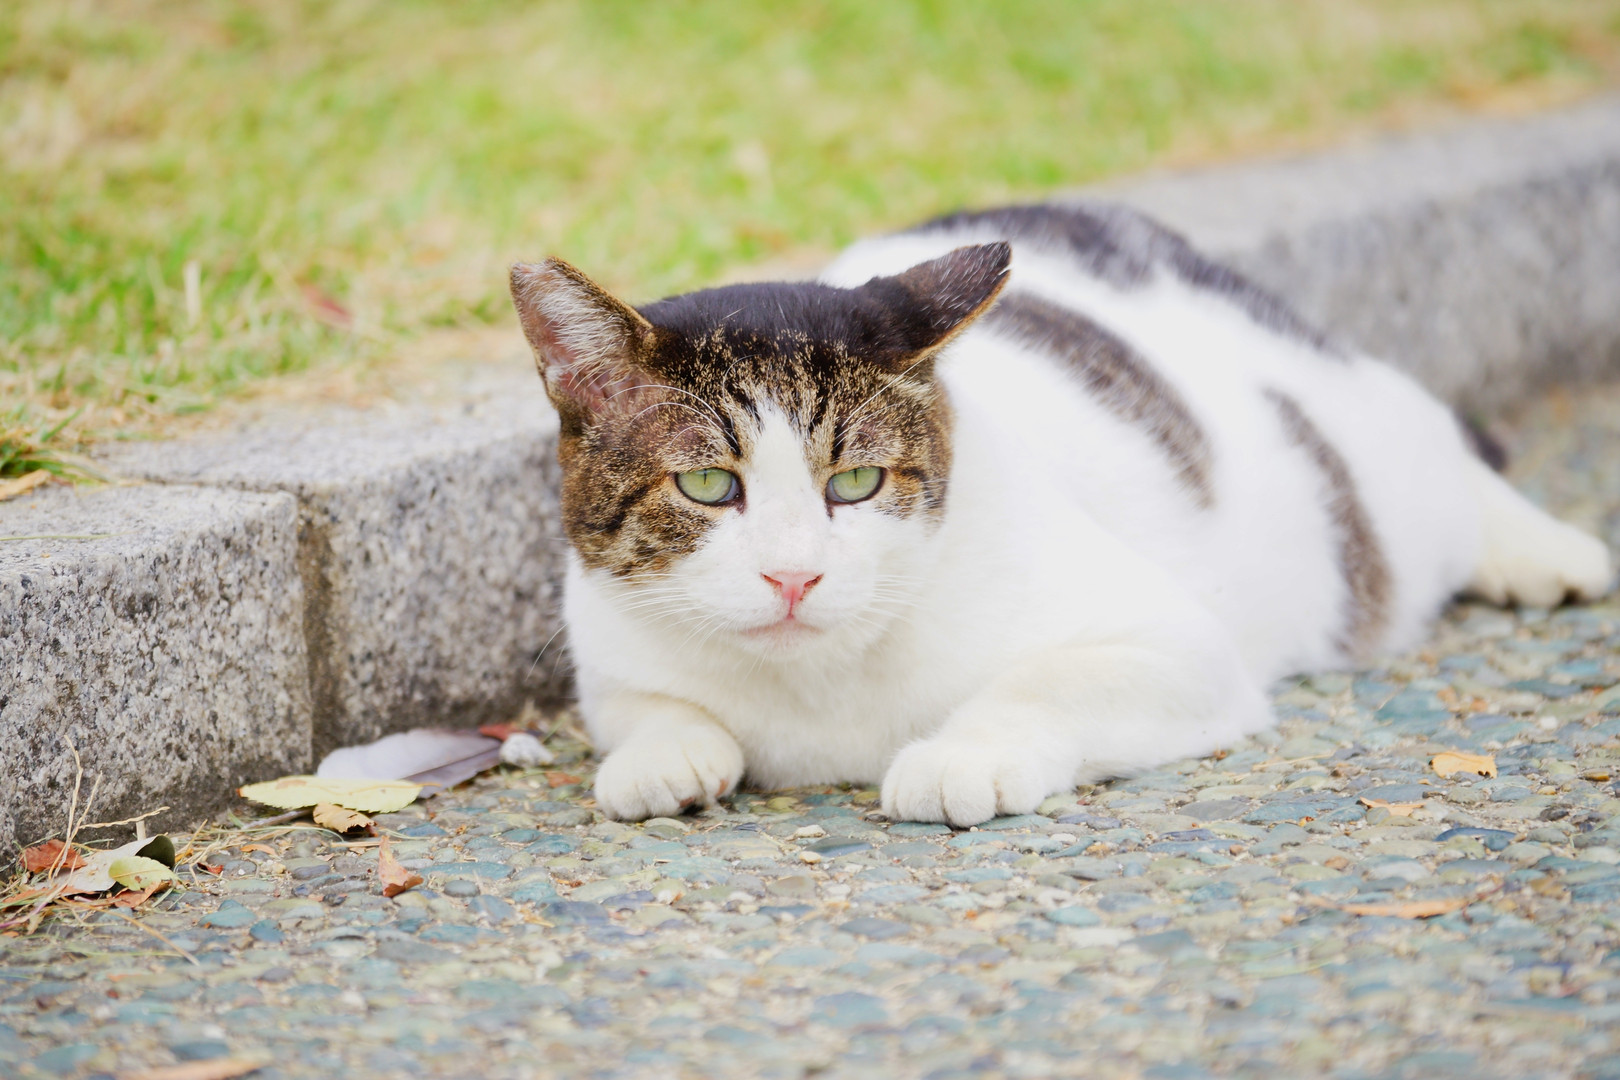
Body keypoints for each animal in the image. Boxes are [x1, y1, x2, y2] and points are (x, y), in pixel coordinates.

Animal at [508, 201, 1614, 826]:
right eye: (707, 486)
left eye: (856, 483)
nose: (794, 575)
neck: (818, 687)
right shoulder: (608, 643)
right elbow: (650, 709)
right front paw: (667, 755)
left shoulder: (1176, 645)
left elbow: (1043, 681)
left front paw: (961, 754)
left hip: (1358, 456)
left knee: (1428, 440)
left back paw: (1544, 550)